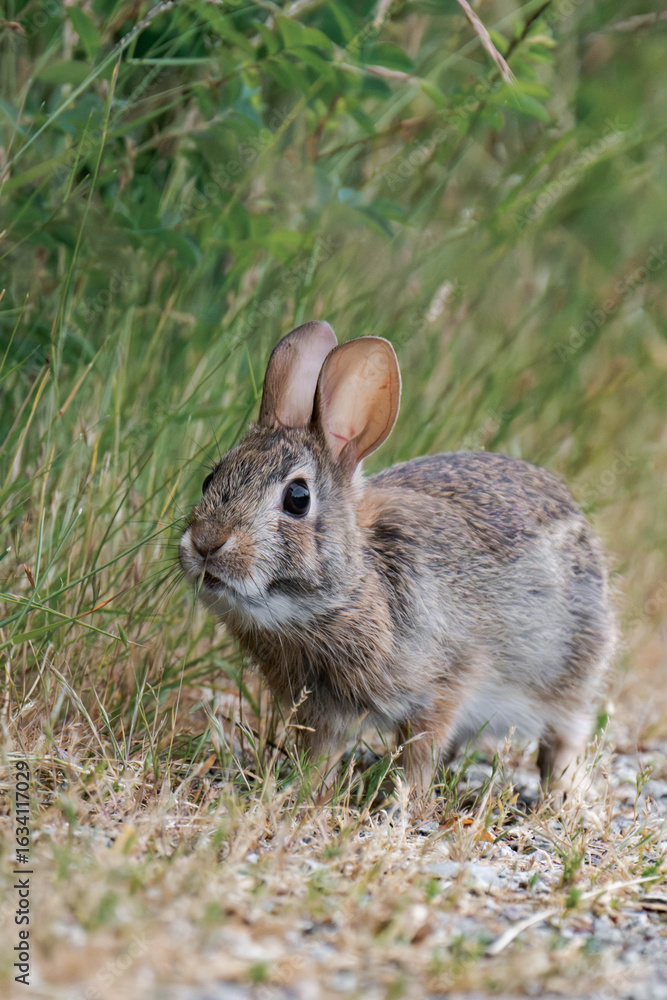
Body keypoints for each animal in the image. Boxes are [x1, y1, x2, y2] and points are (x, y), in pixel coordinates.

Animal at [179, 320, 616, 797]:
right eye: (209, 479)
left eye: (297, 498)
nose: (206, 543)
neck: (342, 596)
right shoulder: (323, 712)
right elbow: (322, 755)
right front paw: (304, 790)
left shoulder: (445, 684)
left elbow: (420, 752)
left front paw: (405, 801)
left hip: (568, 676)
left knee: (564, 738)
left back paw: (562, 796)